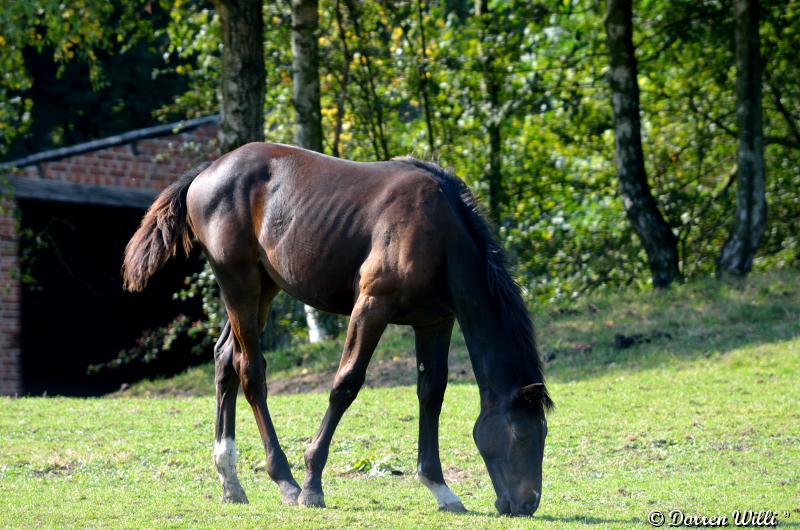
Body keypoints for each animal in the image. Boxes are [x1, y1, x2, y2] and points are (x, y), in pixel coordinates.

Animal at [122, 142, 552, 512]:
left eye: (544, 435)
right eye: (521, 434)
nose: (527, 504)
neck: (439, 232)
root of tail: (206, 172)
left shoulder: (434, 321)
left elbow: (431, 393)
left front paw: (440, 488)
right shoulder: (372, 306)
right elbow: (346, 384)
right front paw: (313, 483)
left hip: (263, 288)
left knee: (225, 359)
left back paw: (231, 482)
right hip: (238, 283)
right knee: (251, 371)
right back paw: (286, 480)